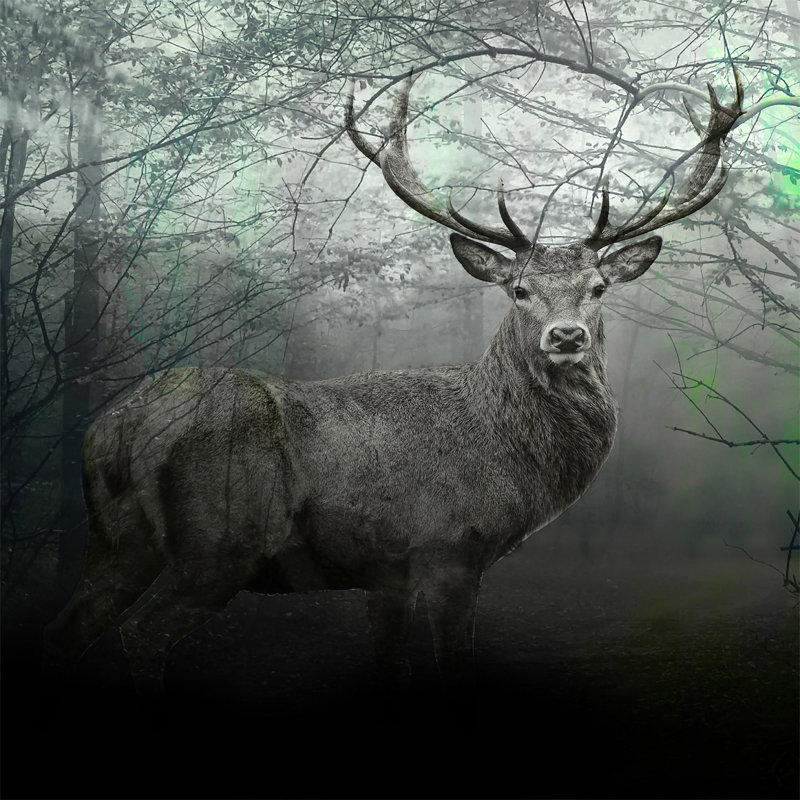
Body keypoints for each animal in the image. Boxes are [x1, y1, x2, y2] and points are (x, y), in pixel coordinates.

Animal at [42, 69, 743, 706]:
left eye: (598, 289)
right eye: (519, 290)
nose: (566, 335)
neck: (508, 458)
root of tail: (118, 426)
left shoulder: (386, 574)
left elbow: (391, 669)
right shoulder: (449, 549)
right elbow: (454, 667)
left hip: (115, 538)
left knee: (65, 629)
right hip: (220, 538)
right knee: (142, 634)